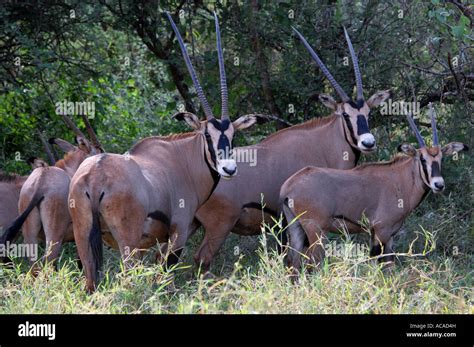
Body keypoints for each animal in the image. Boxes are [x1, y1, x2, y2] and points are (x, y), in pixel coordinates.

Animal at [68, 12, 264, 292]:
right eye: (207, 135)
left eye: (233, 135)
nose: (229, 169)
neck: (182, 158)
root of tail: (94, 176)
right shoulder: (179, 229)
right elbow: (167, 270)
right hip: (127, 242)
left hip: (83, 239)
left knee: (90, 281)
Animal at [192, 26, 388, 272]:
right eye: (345, 115)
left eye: (368, 113)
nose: (368, 143)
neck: (323, 145)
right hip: (219, 226)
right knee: (202, 259)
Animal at [280, 104, 468, 274]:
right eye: (422, 159)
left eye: (441, 159)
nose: (439, 184)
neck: (401, 179)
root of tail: (288, 187)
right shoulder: (381, 231)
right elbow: (378, 264)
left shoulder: (389, 235)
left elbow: (389, 266)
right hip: (317, 231)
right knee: (313, 263)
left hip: (296, 227)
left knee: (292, 261)